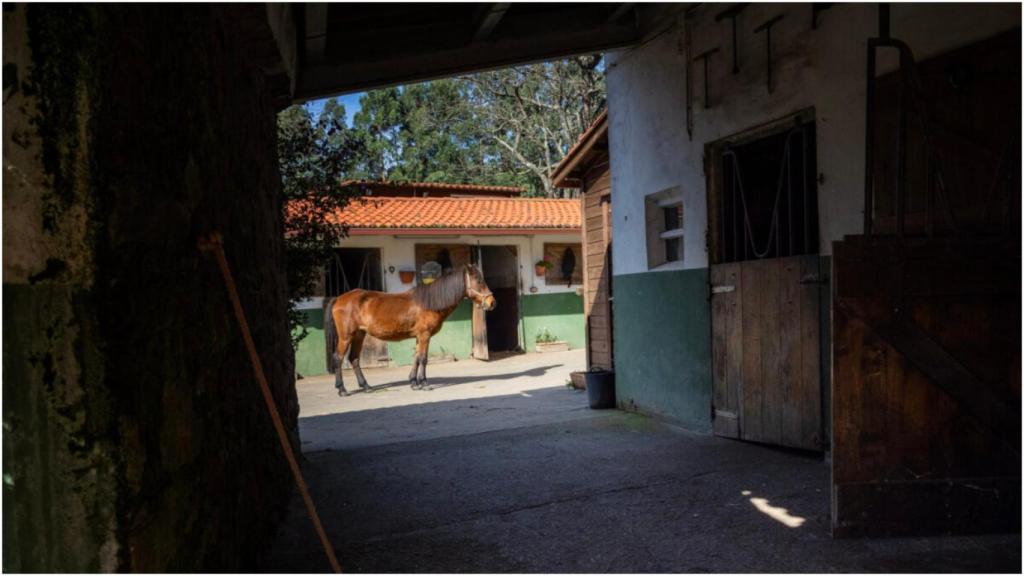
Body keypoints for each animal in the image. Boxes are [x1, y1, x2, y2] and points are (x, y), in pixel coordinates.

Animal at [321, 264, 493, 393]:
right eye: (479, 280)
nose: (492, 302)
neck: (429, 302)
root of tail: (338, 299)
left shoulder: (418, 337)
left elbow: (416, 358)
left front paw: (414, 382)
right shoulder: (424, 335)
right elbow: (423, 358)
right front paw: (424, 383)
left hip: (359, 335)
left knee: (354, 359)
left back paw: (366, 386)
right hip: (346, 336)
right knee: (338, 358)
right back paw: (342, 389)